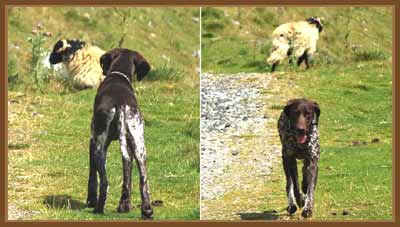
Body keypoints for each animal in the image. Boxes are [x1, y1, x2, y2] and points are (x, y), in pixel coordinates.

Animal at [85, 48, 152, 220]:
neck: (119, 74)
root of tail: (121, 105)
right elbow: (128, 176)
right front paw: (125, 204)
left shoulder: (92, 141)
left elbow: (92, 176)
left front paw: (91, 201)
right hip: (139, 146)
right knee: (143, 179)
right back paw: (146, 210)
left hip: (100, 148)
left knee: (104, 182)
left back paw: (99, 208)